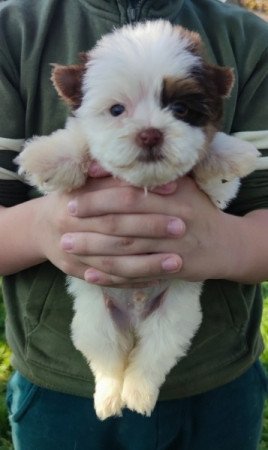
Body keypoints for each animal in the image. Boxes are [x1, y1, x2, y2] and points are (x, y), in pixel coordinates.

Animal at [15, 21, 258, 420]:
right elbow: (78, 138)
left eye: (180, 108)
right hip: (95, 324)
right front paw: (48, 156)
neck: (143, 183)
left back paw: (138, 394)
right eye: (117, 109)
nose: (150, 133)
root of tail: (134, 319)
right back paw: (109, 397)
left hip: (173, 320)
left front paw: (228, 155)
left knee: (154, 356)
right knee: (107, 361)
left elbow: (214, 171)